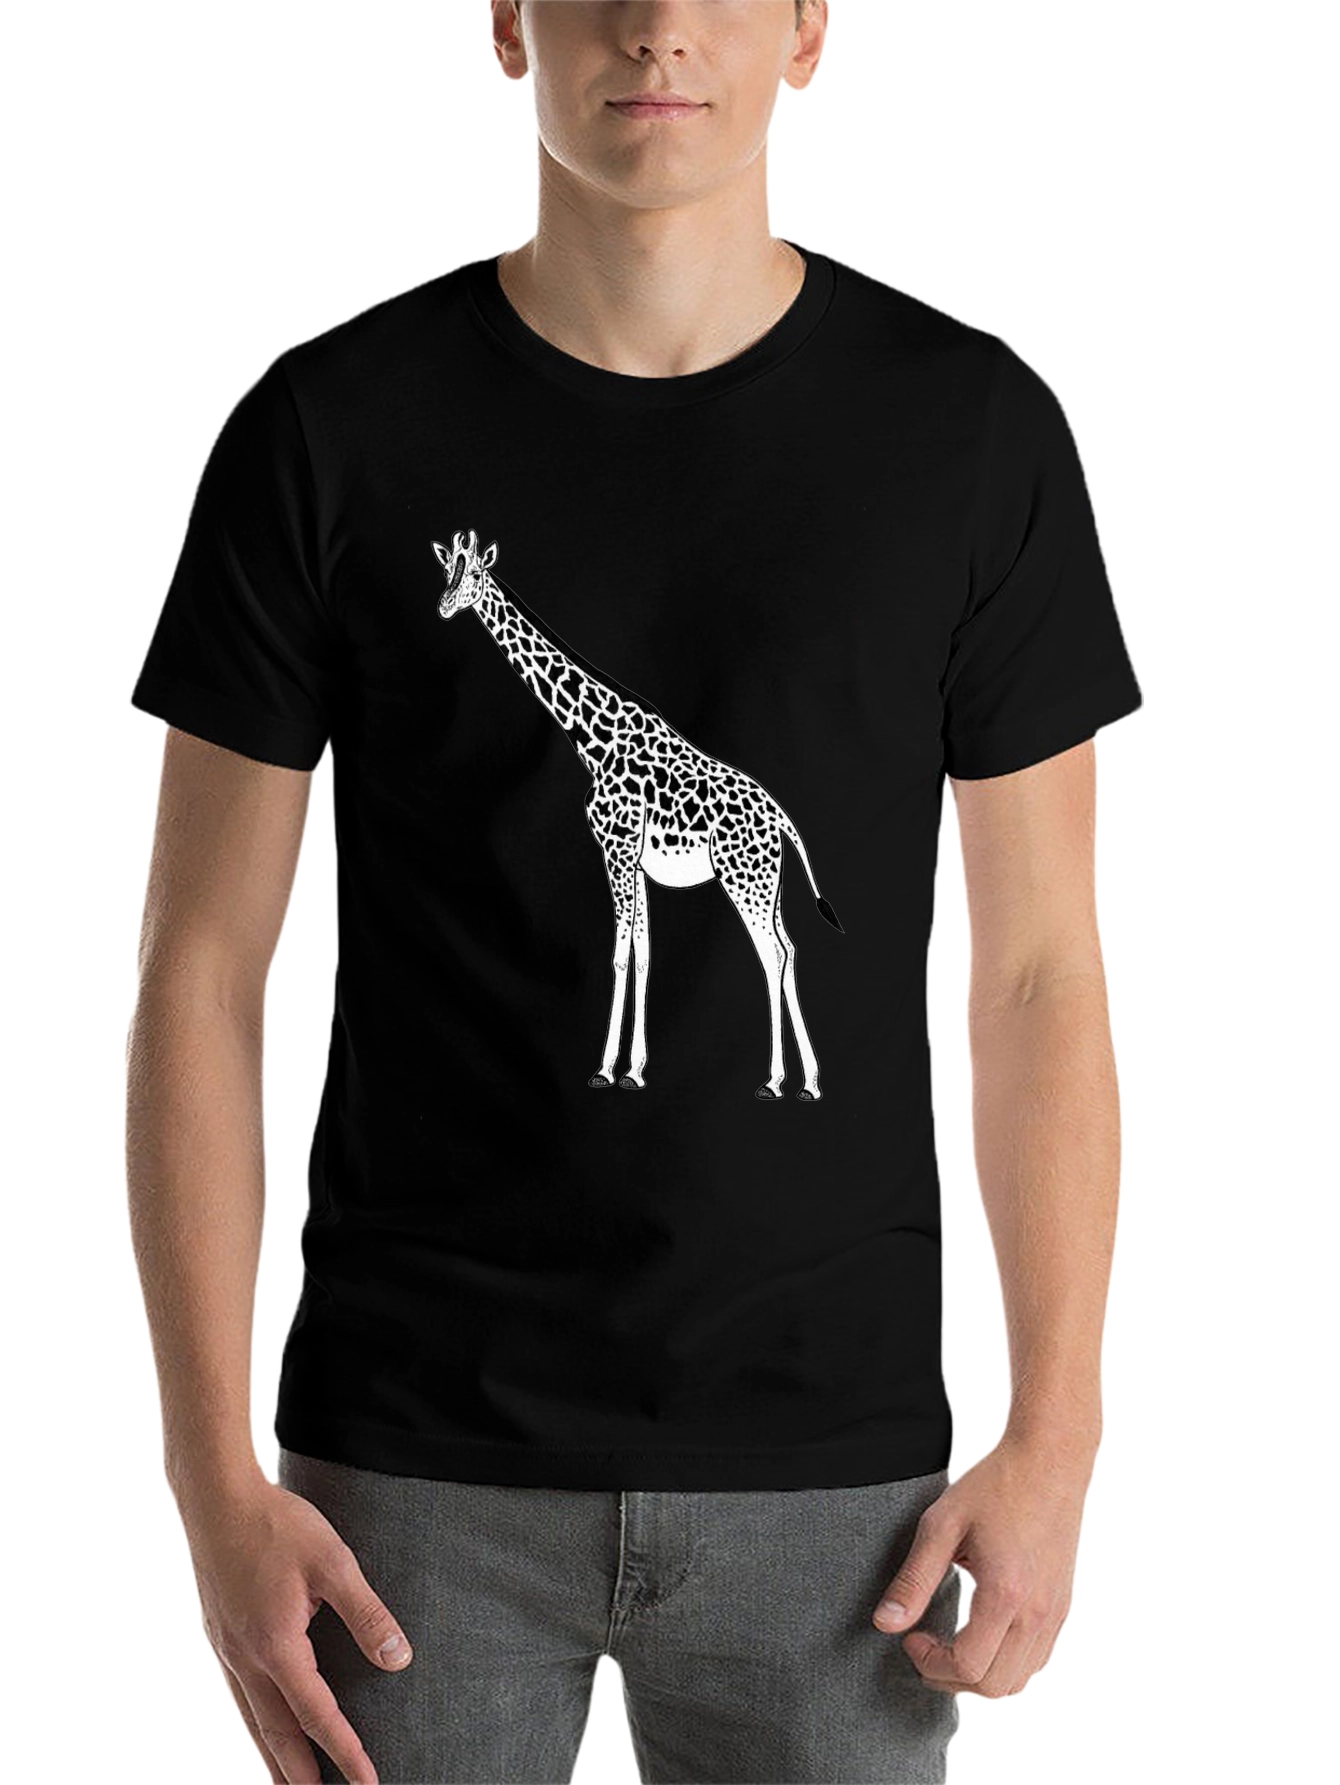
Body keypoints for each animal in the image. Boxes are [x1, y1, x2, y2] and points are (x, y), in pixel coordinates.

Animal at [433, 530, 841, 1099]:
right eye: (447, 570)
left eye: (473, 574)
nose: (445, 606)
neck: (592, 738)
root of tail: (784, 821)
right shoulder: (634, 858)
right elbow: (645, 953)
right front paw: (635, 1068)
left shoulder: (617, 847)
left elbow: (621, 953)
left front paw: (607, 1069)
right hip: (770, 883)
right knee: (791, 950)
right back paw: (810, 1081)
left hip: (744, 880)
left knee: (772, 956)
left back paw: (775, 1079)